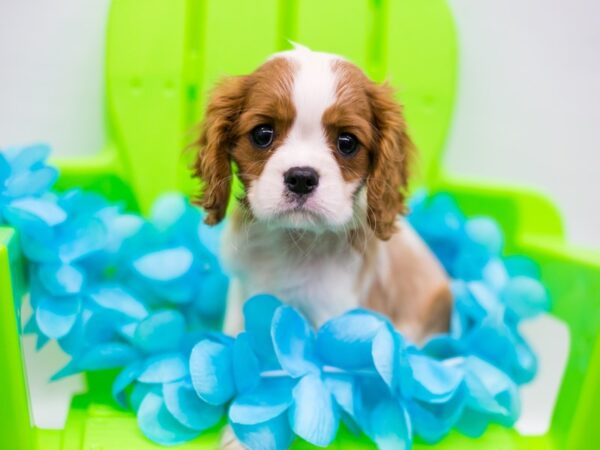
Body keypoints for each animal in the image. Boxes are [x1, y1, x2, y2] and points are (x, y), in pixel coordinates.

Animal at [193, 44, 450, 344]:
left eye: (347, 142)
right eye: (263, 134)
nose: (302, 178)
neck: (293, 240)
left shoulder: (334, 311)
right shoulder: (241, 290)